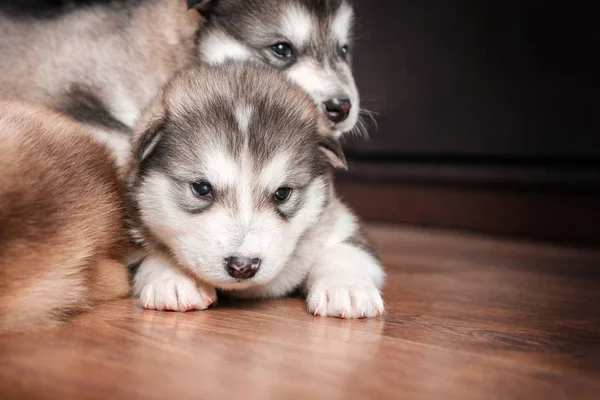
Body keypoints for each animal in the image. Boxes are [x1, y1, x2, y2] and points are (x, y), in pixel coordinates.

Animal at [126, 63, 384, 318]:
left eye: (283, 192)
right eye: (201, 187)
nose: (243, 266)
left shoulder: (337, 220)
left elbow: (346, 250)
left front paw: (347, 287)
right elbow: (151, 254)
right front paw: (173, 280)